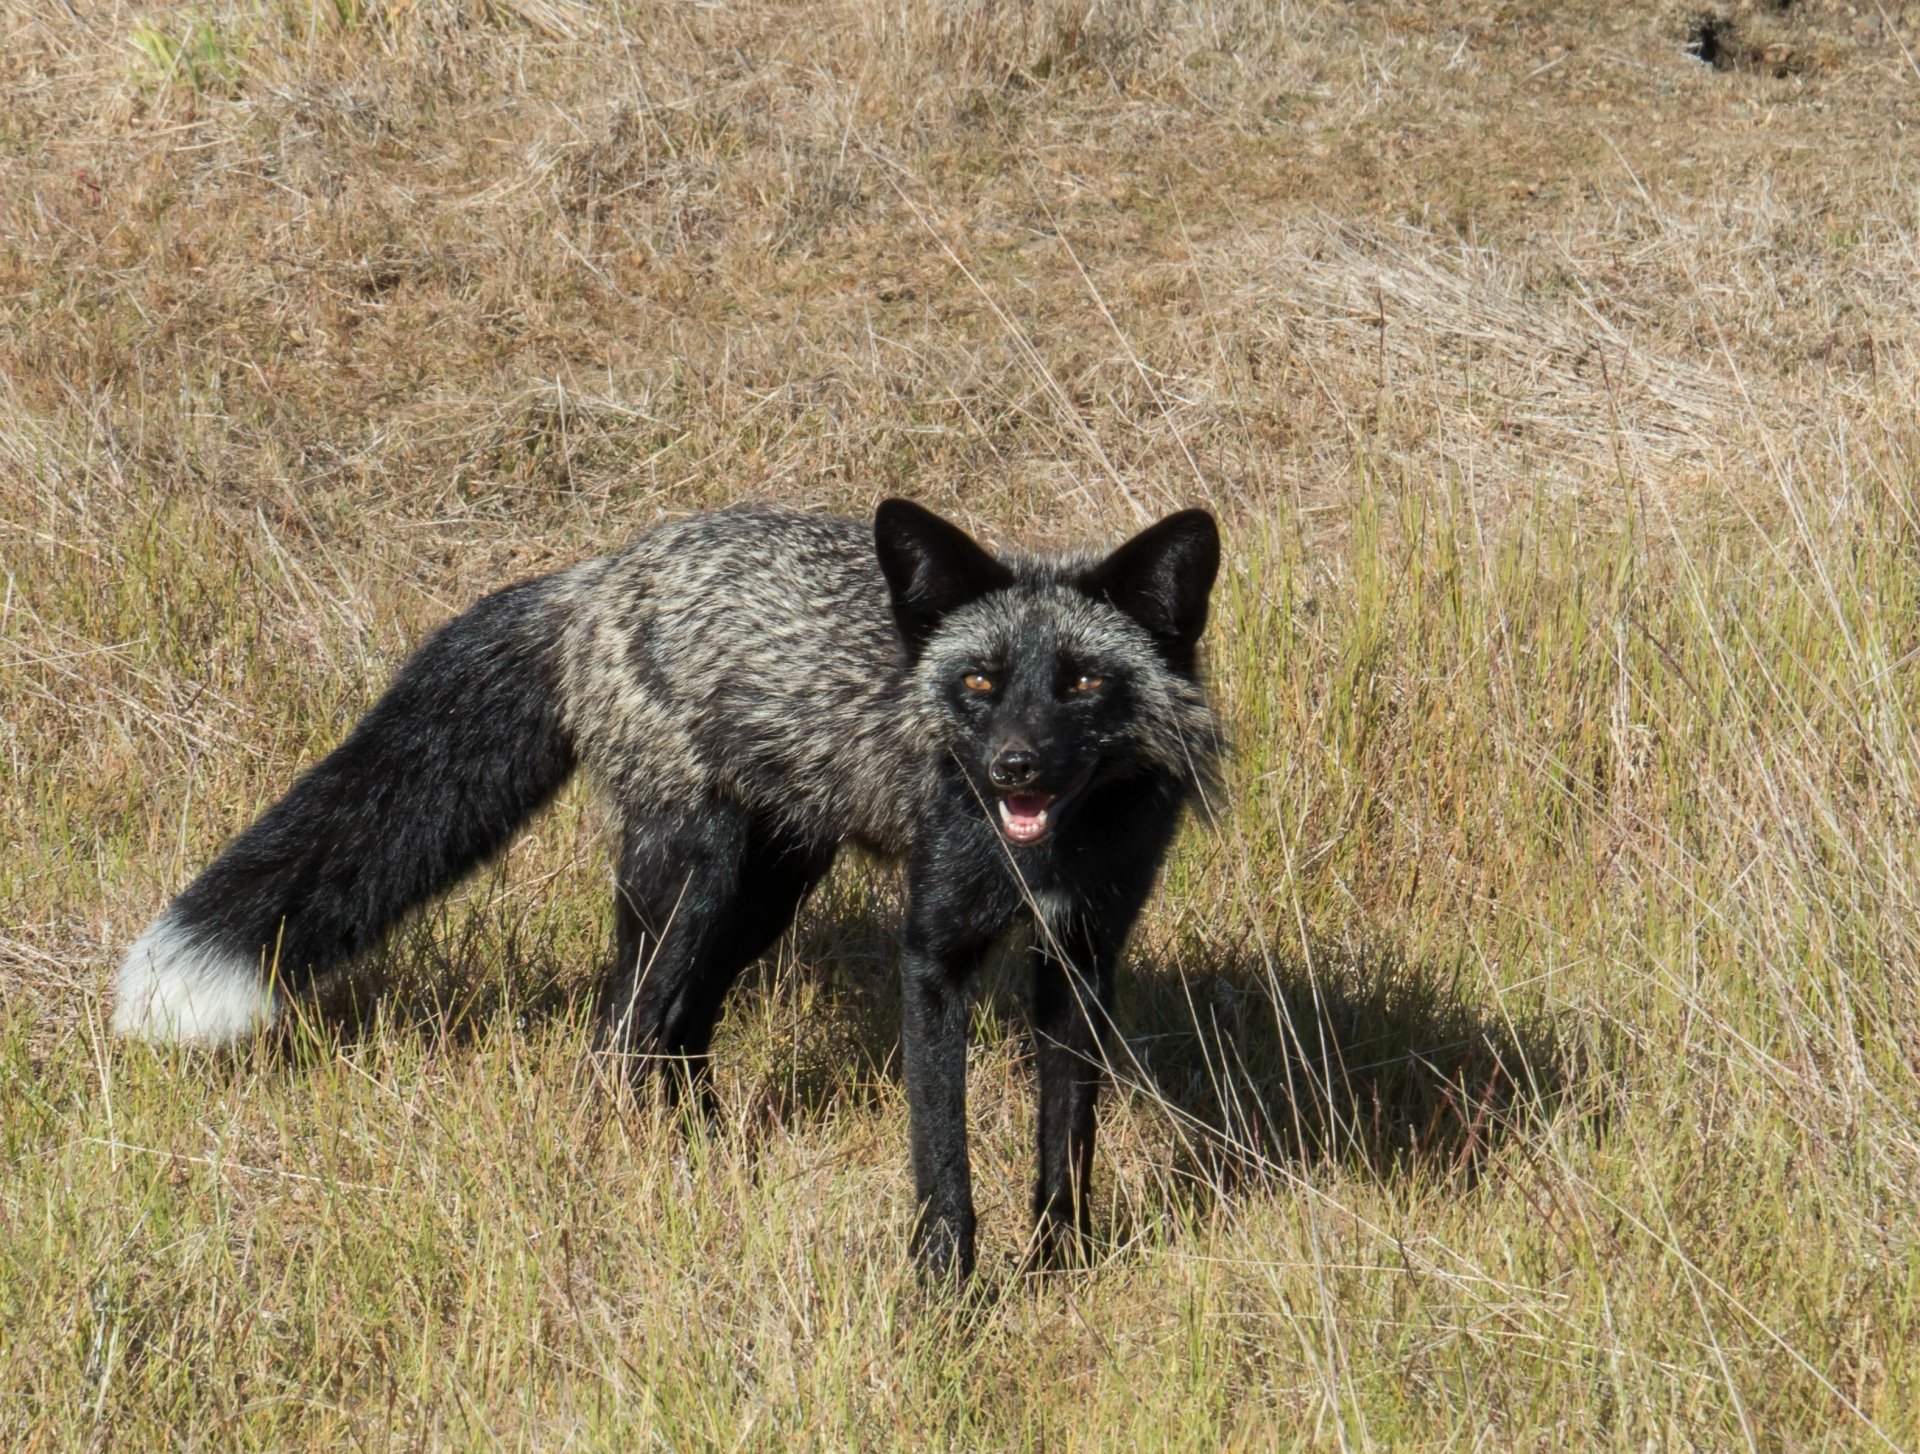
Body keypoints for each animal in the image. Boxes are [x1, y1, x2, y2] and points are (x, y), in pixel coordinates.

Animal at [113, 499, 1221, 1277]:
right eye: (979, 684)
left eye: (1084, 682)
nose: (1013, 767)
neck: (1046, 856)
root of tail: (594, 577)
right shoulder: (933, 951)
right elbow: (941, 1158)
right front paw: (945, 1295)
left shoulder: (1081, 957)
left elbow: (1065, 1141)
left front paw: (1060, 1270)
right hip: (693, 880)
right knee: (620, 1038)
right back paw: (634, 1176)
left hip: (762, 892)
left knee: (677, 1034)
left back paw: (714, 1160)